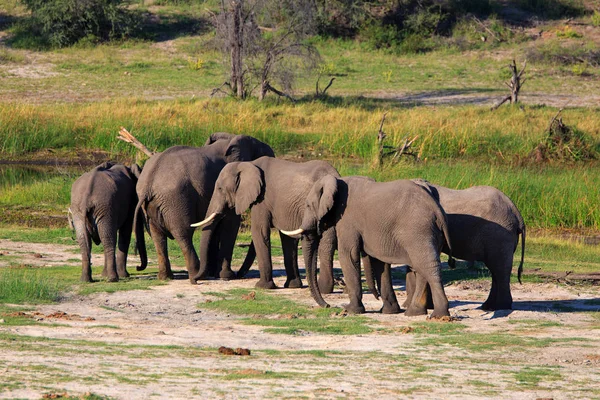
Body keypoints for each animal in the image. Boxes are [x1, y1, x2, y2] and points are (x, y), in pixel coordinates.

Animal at [134, 133, 274, 282]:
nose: (240, 274)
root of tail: (148, 183)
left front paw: (216, 273)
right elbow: (231, 224)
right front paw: (227, 276)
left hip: (153, 204)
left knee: (157, 235)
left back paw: (166, 277)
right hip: (175, 199)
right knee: (183, 233)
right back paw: (197, 275)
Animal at [190, 156, 340, 290]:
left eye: (220, 189)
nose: (195, 281)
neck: (248, 164)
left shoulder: (262, 200)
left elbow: (259, 232)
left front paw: (262, 287)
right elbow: (287, 238)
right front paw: (293, 286)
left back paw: (323, 289)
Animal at [284, 176, 452, 318]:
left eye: (307, 205)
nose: (328, 305)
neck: (338, 182)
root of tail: (438, 210)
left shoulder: (347, 219)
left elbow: (348, 255)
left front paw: (351, 310)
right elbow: (380, 263)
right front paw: (389, 312)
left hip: (418, 231)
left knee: (428, 266)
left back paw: (438, 315)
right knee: (422, 267)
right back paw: (413, 312)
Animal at [406, 180, 528, 310]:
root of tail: (517, 214)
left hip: (500, 235)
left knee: (499, 269)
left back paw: (500, 306)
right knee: (495, 269)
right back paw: (488, 306)